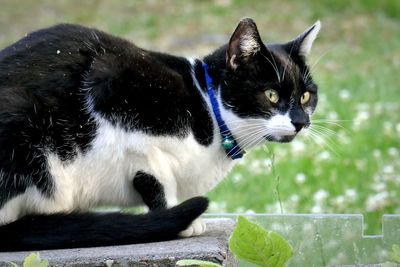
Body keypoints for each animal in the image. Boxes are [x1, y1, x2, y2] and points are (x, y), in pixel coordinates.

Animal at [0, 18, 320, 251]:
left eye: (306, 96)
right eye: (271, 95)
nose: (301, 121)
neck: (207, 107)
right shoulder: (115, 90)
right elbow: (157, 176)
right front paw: (179, 218)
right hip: (24, 126)